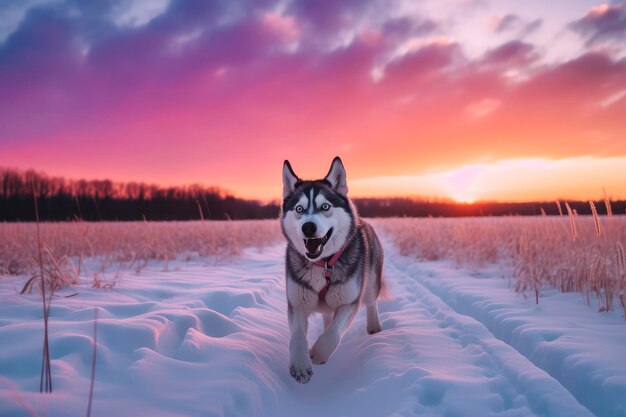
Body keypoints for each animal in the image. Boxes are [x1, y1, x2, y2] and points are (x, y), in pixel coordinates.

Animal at [280, 157, 382, 384]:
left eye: (324, 206)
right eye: (299, 209)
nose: (308, 227)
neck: (323, 264)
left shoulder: (349, 302)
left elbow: (334, 333)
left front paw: (319, 352)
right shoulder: (297, 303)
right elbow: (297, 336)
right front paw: (300, 363)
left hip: (370, 283)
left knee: (371, 302)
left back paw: (374, 327)